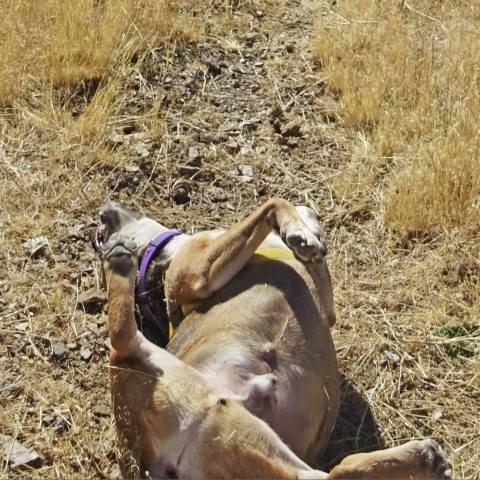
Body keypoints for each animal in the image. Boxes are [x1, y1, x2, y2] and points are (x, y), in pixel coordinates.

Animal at [92, 197, 452, 478]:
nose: (102, 214)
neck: (158, 261)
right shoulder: (199, 275)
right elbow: (274, 203)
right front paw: (300, 232)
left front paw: (308, 228)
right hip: (168, 375)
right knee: (122, 338)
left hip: (249, 447)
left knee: (331, 473)